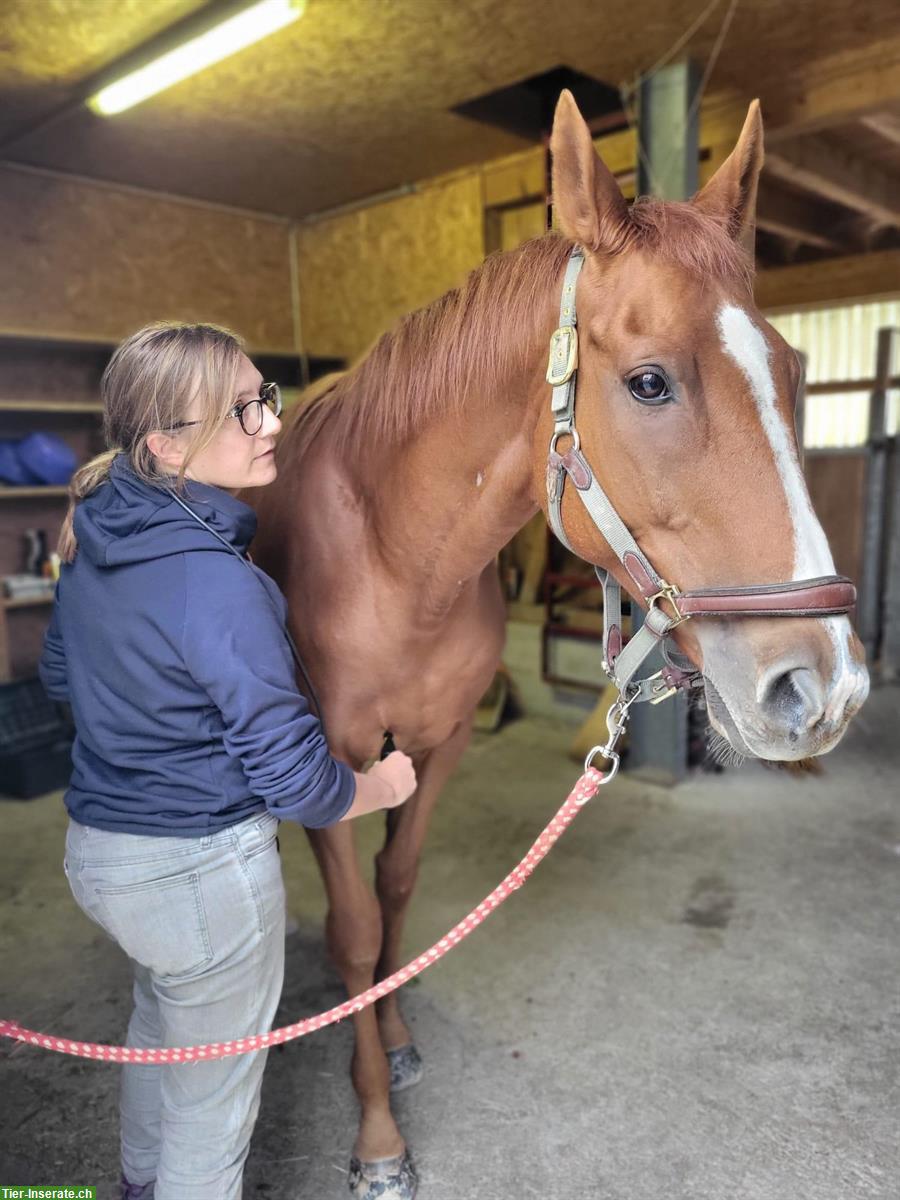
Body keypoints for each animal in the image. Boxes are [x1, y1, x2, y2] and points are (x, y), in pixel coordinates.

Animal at [244, 88, 868, 1195]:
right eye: (651, 383)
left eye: (794, 371)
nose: (822, 688)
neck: (395, 556)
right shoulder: (330, 765)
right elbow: (356, 929)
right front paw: (377, 1137)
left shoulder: (437, 745)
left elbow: (398, 890)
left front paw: (393, 1039)